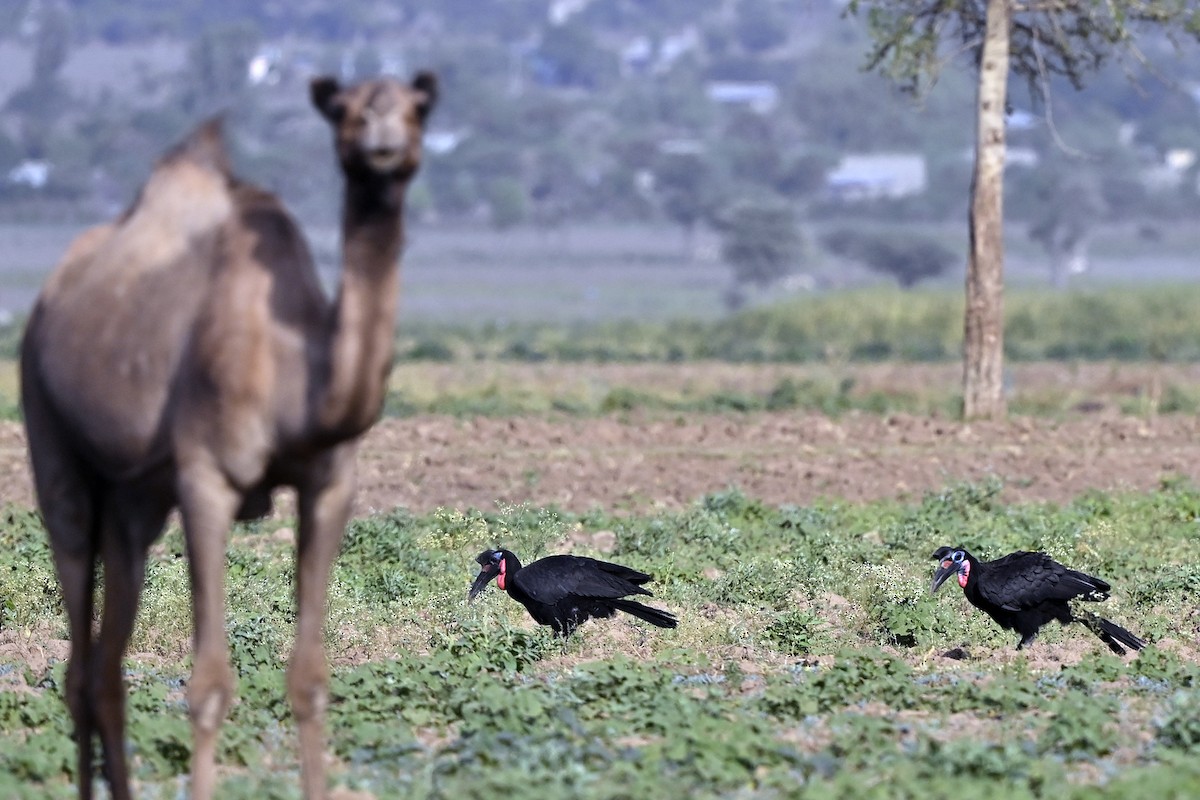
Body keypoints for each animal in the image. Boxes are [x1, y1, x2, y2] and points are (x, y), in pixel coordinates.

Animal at [18, 71, 439, 796]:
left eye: (417, 107)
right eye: (346, 110)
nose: (383, 143)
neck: (294, 371)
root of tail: (48, 299)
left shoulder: (330, 485)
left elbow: (311, 679)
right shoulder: (206, 479)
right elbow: (208, 685)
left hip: (133, 503)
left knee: (105, 671)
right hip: (49, 435)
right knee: (77, 648)